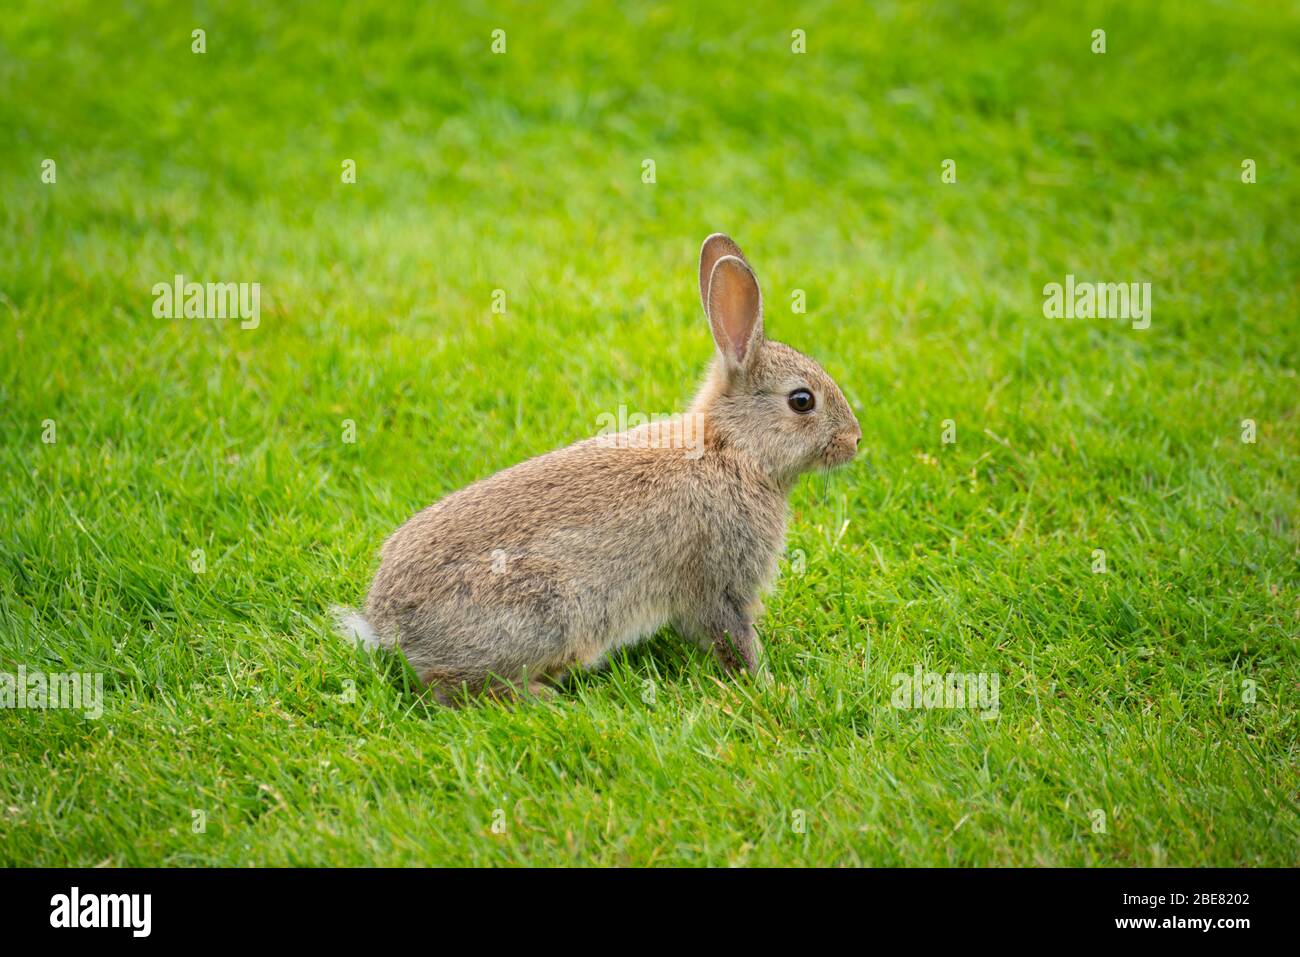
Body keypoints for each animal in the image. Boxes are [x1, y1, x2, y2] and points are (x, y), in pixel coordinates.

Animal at [335, 231, 863, 702]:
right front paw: (771, 685)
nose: (855, 440)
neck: (730, 450)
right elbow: (735, 638)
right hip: (550, 611)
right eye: (802, 401)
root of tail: (385, 626)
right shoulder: (720, 579)